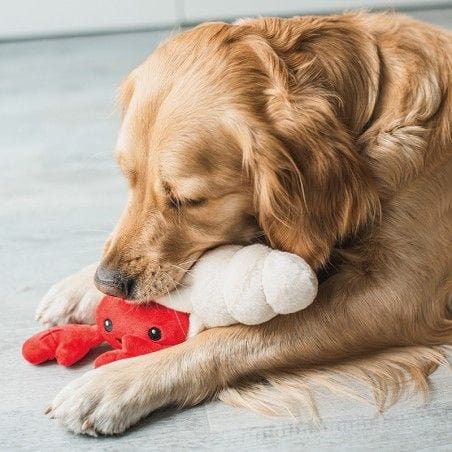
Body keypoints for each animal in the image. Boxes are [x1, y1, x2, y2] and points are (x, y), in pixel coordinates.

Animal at [36, 11, 452, 434]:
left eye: (190, 200)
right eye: (128, 178)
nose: (108, 283)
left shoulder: (397, 296)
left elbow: (232, 337)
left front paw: (114, 384)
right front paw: (78, 288)